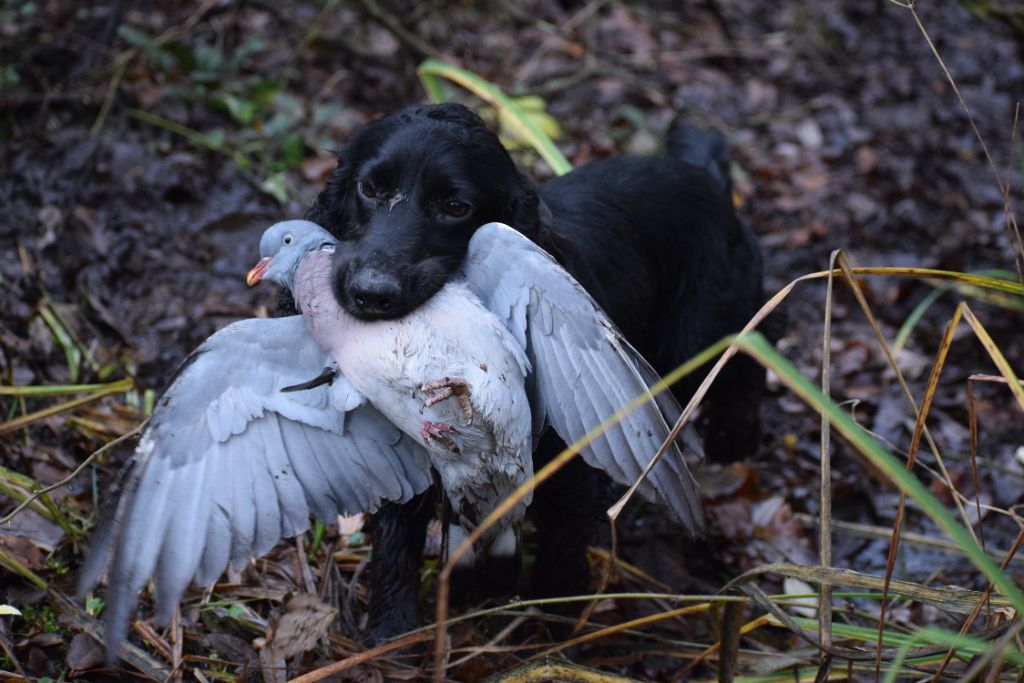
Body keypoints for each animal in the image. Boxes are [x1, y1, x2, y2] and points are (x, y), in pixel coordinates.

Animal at [303, 101, 761, 643]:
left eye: (456, 207)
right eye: (369, 189)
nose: (371, 294)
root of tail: (707, 179)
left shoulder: (570, 476)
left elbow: (561, 557)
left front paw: (555, 632)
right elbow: (395, 550)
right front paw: (392, 640)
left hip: (702, 337)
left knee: (743, 373)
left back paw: (737, 443)